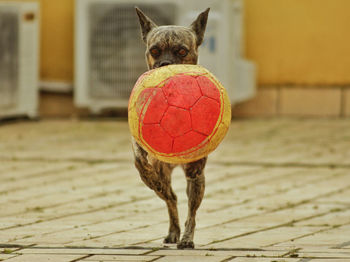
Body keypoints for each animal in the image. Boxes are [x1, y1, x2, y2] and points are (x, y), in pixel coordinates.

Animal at [134, 6, 211, 250]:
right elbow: (141, 160)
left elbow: (191, 212)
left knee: (187, 208)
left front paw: (187, 237)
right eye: (154, 51)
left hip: (196, 183)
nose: (166, 64)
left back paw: (185, 237)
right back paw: (173, 231)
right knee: (170, 198)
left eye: (182, 51)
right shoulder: (139, 148)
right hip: (163, 178)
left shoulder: (196, 172)